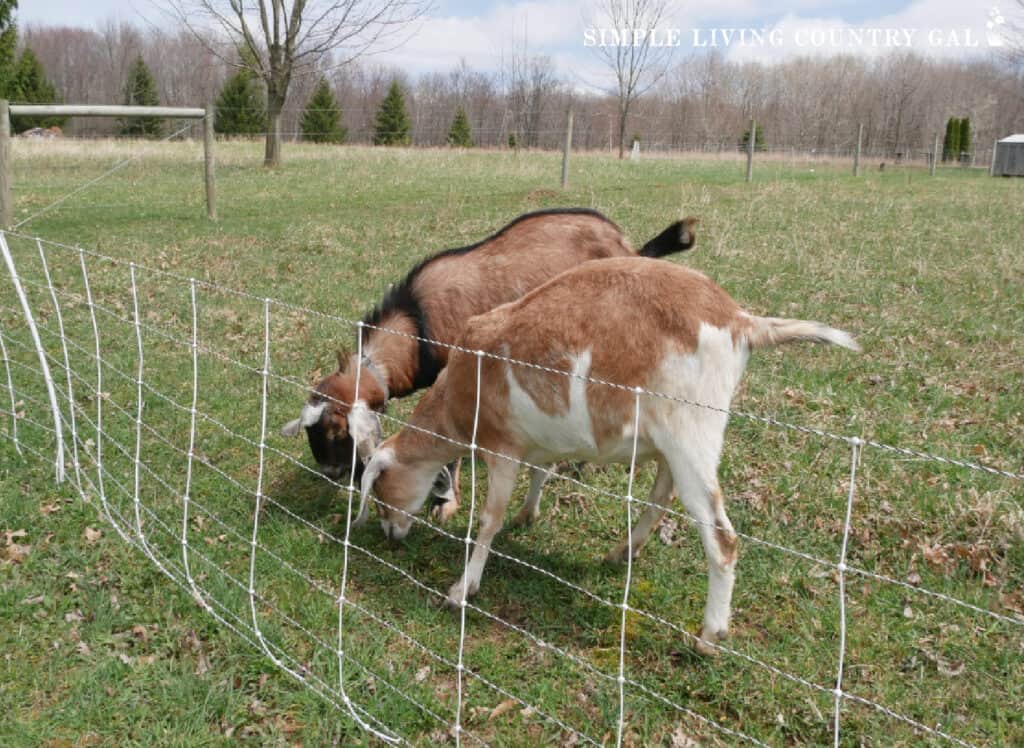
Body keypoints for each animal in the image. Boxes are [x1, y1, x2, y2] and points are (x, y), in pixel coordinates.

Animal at [358, 256, 856, 651]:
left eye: (379, 488)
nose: (389, 534)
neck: (461, 389)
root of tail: (739, 320)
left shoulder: (502, 447)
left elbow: (488, 521)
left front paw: (462, 589)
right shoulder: (541, 439)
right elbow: (543, 472)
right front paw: (528, 515)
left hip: (692, 430)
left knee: (722, 538)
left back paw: (709, 636)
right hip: (674, 441)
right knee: (661, 494)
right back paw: (622, 552)